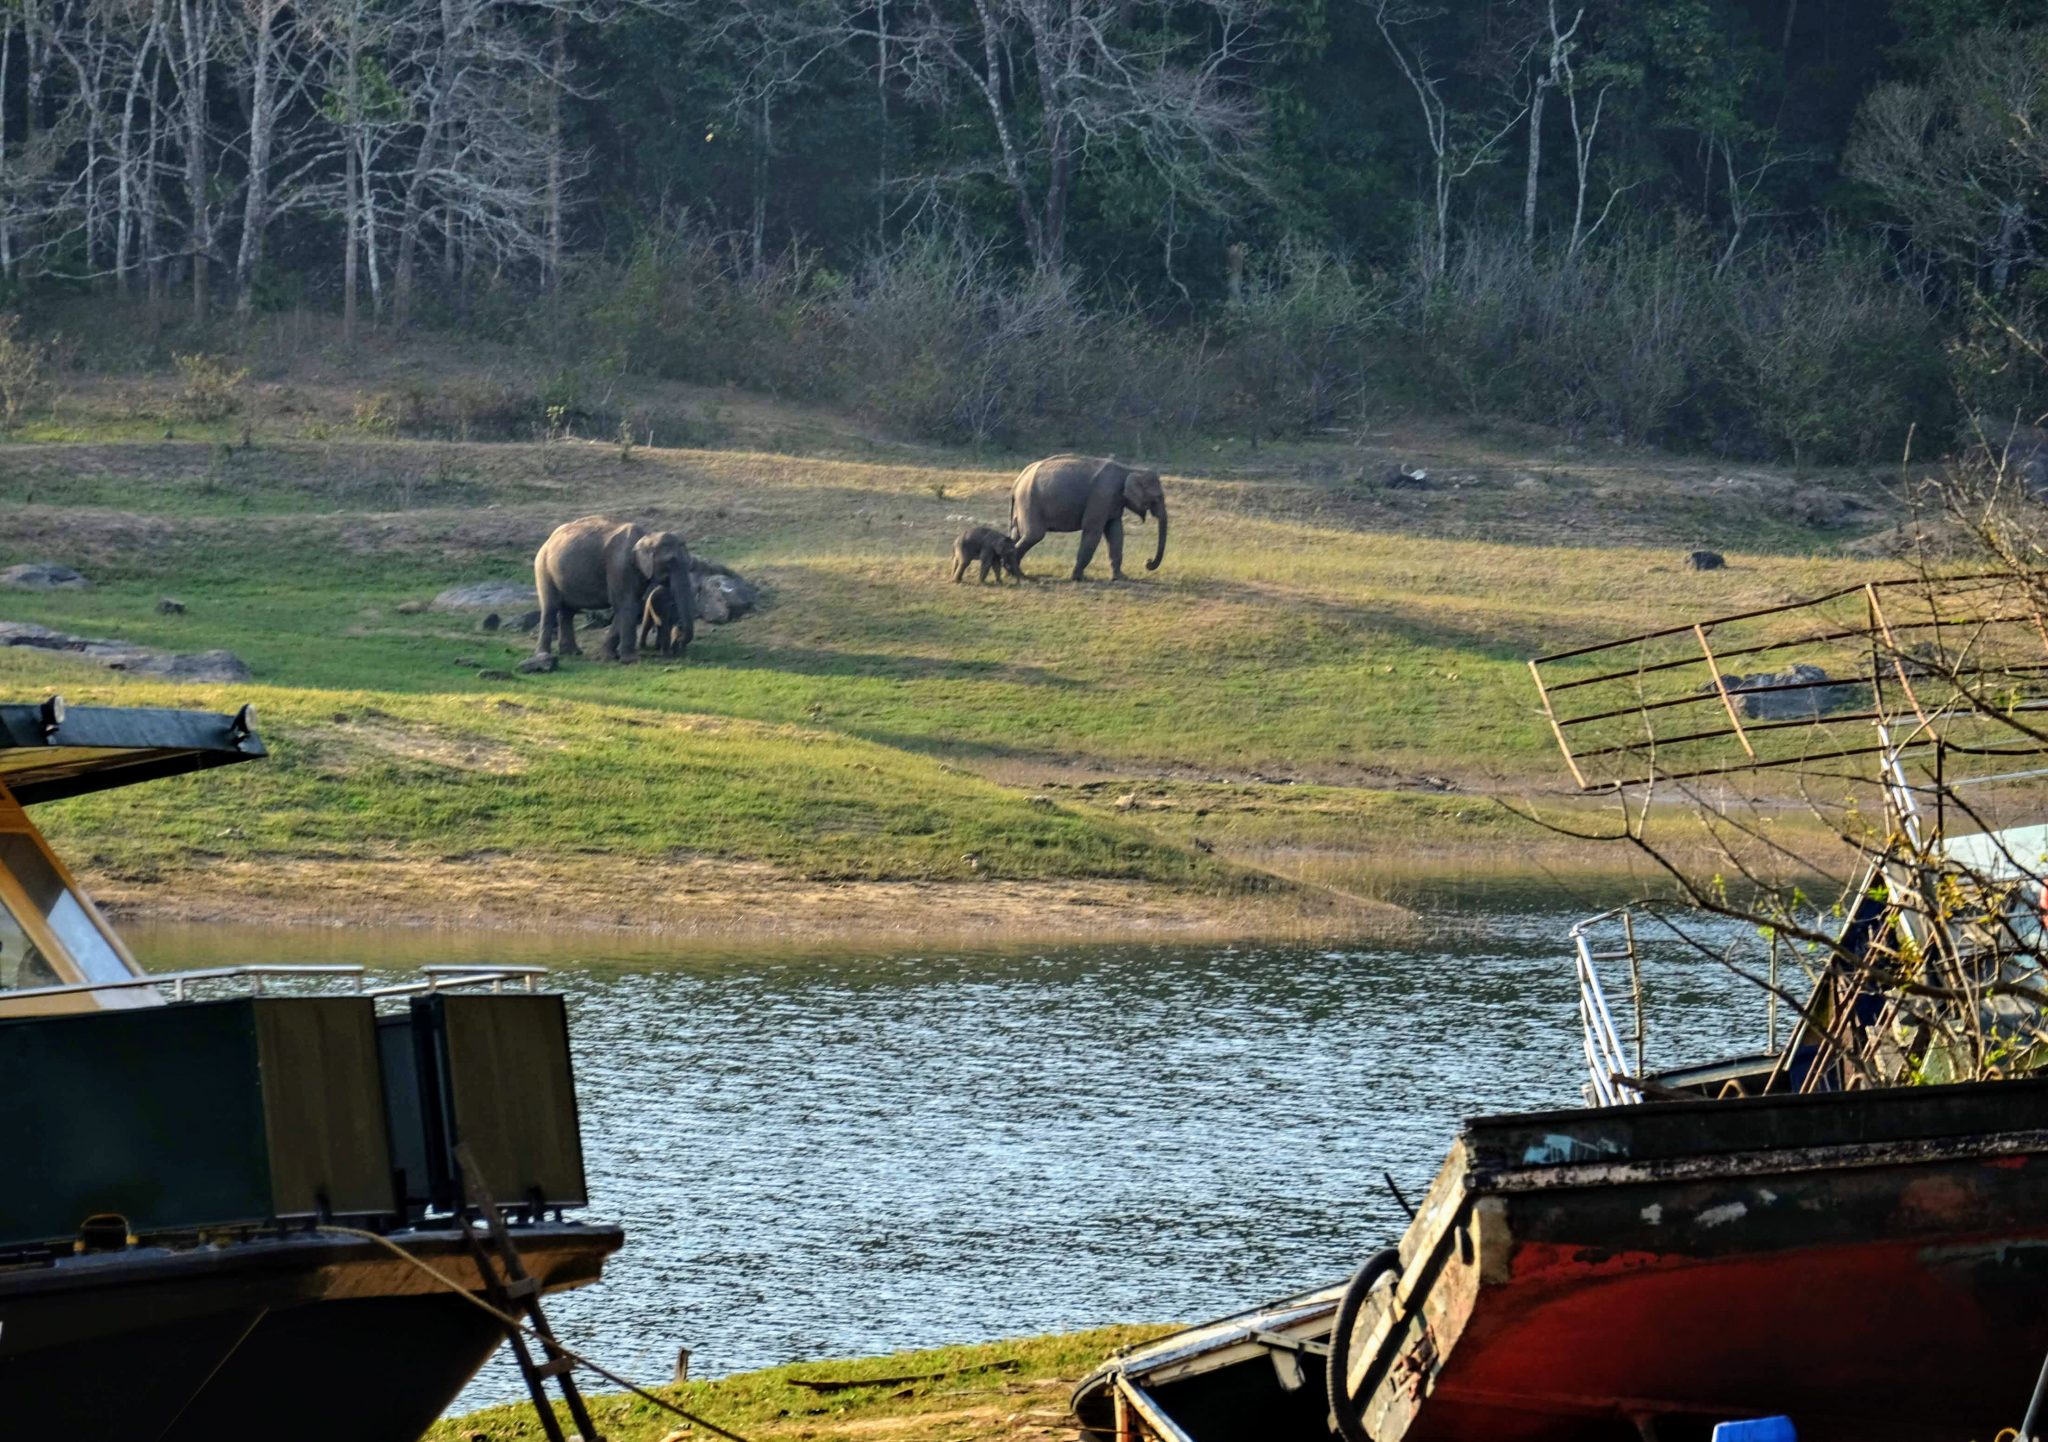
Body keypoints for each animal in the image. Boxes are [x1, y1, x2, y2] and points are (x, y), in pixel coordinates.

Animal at [528, 516, 696, 663]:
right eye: (670, 561)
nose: (679, 636)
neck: (646, 537)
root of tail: (548, 540)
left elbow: (626, 606)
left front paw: (610, 656)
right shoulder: (619, 567)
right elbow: (627, 605)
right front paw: (631, 660)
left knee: (567, 612)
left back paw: (572, 652)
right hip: (543, 569)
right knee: (550, 608)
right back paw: (544, 655)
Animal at [1007, 456, 1171, 581]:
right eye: (1158, 497)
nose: (1148, 562)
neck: (1129, 469)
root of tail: (1017, 482)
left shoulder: (1113, 502)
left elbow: (1115, 532)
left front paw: (1121, 578)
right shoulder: (1102, 495)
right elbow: (1093, 531)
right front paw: (1077, 578)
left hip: (1022, 507)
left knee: (1017, 535)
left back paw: (1013, 573)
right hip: (1029, 502)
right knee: (1034, 535)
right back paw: (1018, 574)